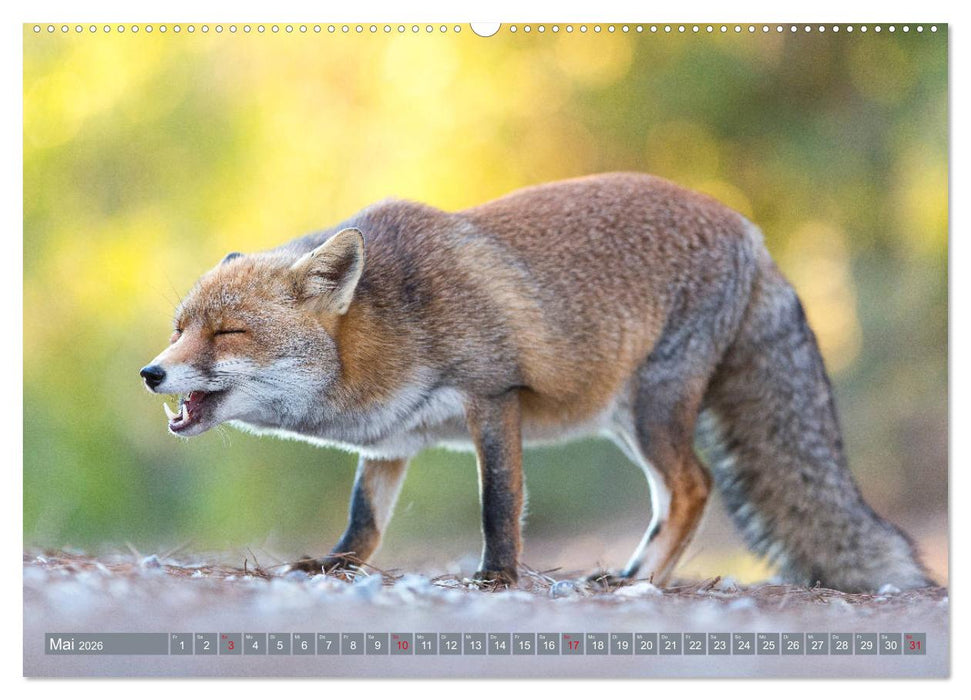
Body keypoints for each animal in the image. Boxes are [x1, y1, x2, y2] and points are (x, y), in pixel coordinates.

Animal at [140, 172, 931, 592]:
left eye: (228, 333)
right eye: (179, 326)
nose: (150, 373)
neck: (393, 326)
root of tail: (752, 231)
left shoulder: (493, 398)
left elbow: (499, 505)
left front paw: (496, 578)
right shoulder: (390, 441)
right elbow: (364, 519)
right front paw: (336, 565)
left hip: (653, 412)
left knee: (693, 486)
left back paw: (636, 580)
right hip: (624, 421)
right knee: (678, 491)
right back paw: (637, 574)